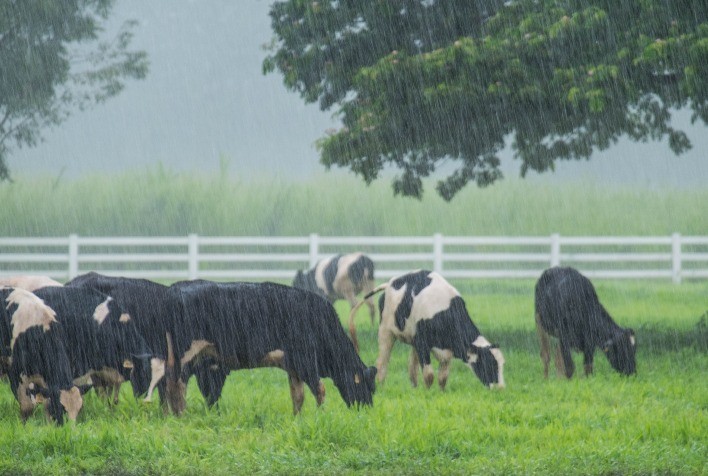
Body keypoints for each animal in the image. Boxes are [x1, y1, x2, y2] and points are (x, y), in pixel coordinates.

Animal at [0, 286, 82, 424]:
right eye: (61, 408)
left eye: (79, 410)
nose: (71, 427)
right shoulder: (17, 372)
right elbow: (26, 405)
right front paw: (24, 425)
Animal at [166, 280, 378, 414]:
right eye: (366, 387)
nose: (366, 411)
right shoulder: (305, 361)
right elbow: (320, 389)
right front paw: (322, 416)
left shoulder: (293, 366)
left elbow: (298, 395)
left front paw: (298, 419)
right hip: (185, 355)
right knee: (176, 384)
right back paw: (180, 415)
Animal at [348, 272, 504, 390]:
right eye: (490, 364)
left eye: (502, 364)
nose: (500, 388)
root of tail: (390, 284)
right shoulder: (422, 342)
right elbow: (429, 374)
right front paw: (428, 393)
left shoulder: (445, 349)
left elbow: (443, 377)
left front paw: (440, 393)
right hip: (386, 331)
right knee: (382, 361)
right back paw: (381, 385)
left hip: (412, 339)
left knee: (412, 365)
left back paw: (415, 388)